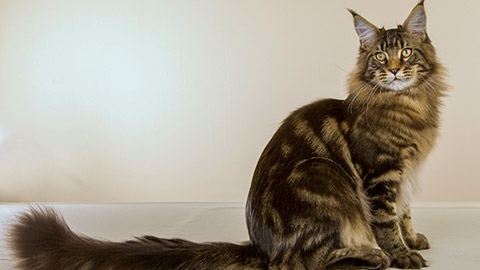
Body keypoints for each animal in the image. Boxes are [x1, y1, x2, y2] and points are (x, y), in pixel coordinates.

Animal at [9, 1, 448, 268]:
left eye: (406, 52)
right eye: (380, 56)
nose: (394, 69)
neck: (408, 103)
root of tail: (260, 246)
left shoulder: (406, 173)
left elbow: (404, 212)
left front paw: (413, 239)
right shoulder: (380, 174)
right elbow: (386, 221)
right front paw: (401, 254)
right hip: (323, 176)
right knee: (303, 261)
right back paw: (370, 256)